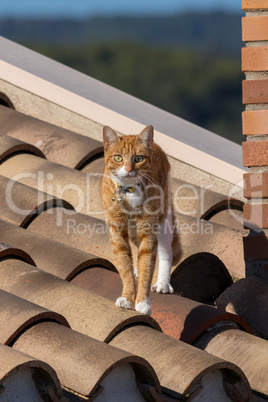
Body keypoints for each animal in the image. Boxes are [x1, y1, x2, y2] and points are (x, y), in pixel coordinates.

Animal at [101, 125, 181, 314]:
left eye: (138, 158)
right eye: (118, 157)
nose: (129, 169)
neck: (129, 192)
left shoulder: (148, 230)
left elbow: (147, 266)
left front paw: (143, 302)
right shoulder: (117, 232)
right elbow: (125, 267)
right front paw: (127, 297)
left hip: (163, 219)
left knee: (165, 251)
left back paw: (162, 283)